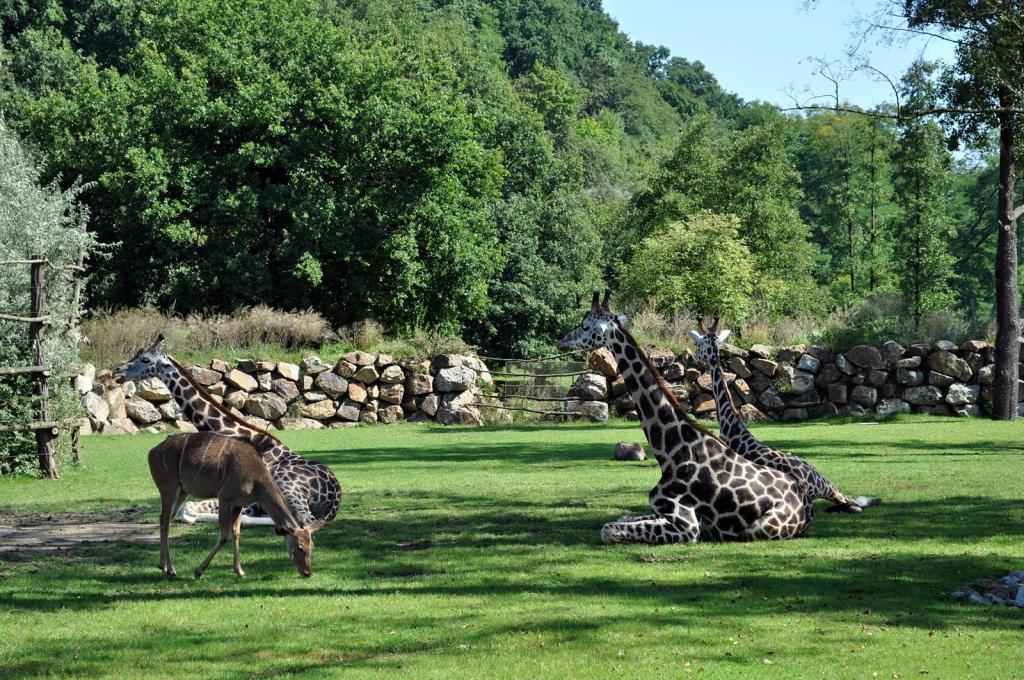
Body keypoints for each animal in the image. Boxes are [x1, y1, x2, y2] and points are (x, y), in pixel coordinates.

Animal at [114, 333, 342, 524]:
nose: (118, 371)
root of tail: (335, 496)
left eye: (146, 360)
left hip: (289, 487)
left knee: (304, 521)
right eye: (137, 354)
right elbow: (189, 508)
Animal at [147, 432, 323, 577]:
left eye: (312, 547)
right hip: (169, 489)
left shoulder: (239, 503)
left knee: (163, 519)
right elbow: (224, 535)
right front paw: (199, 571)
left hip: (183, 492)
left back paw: (162, 566)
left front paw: (239, 571)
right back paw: (171, 570)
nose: (307, 573)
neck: (256, 480)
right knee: (165, 522)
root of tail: (152, 452)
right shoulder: (224, 498)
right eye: (300, 547)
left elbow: (236, 532)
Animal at [557, 288, 811, 544]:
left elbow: (608, 529)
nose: (561, 341)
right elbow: (620, 519)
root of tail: (806, 508)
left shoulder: (687, 525)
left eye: (585, 326)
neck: (670, 452)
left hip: (757, 528)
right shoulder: (660, 511)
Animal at [692, 315, 884, 512]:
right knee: (852, 502)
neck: (731, 426)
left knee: (852, 505)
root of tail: (811, 486)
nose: (697, 358)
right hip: (826, 481)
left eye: (698, 344)